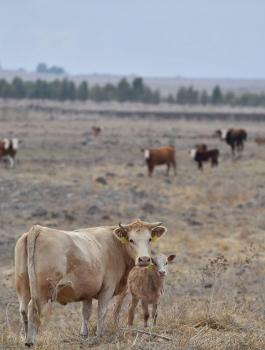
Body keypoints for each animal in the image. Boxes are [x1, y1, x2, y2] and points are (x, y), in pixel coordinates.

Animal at [14, 220, 166, 346]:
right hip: (42, 292)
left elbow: (86, 313)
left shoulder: (87, 291)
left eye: (149, 239)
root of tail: (39, 229)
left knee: (23, 310)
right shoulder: (107, 288)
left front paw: (84, 335)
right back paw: (31, 341)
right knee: (34, 309)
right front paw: (99, 336)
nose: (144, 259)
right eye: (131, 239)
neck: (116, 245)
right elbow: (101, 312)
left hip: (23, 287)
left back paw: (25, 338)